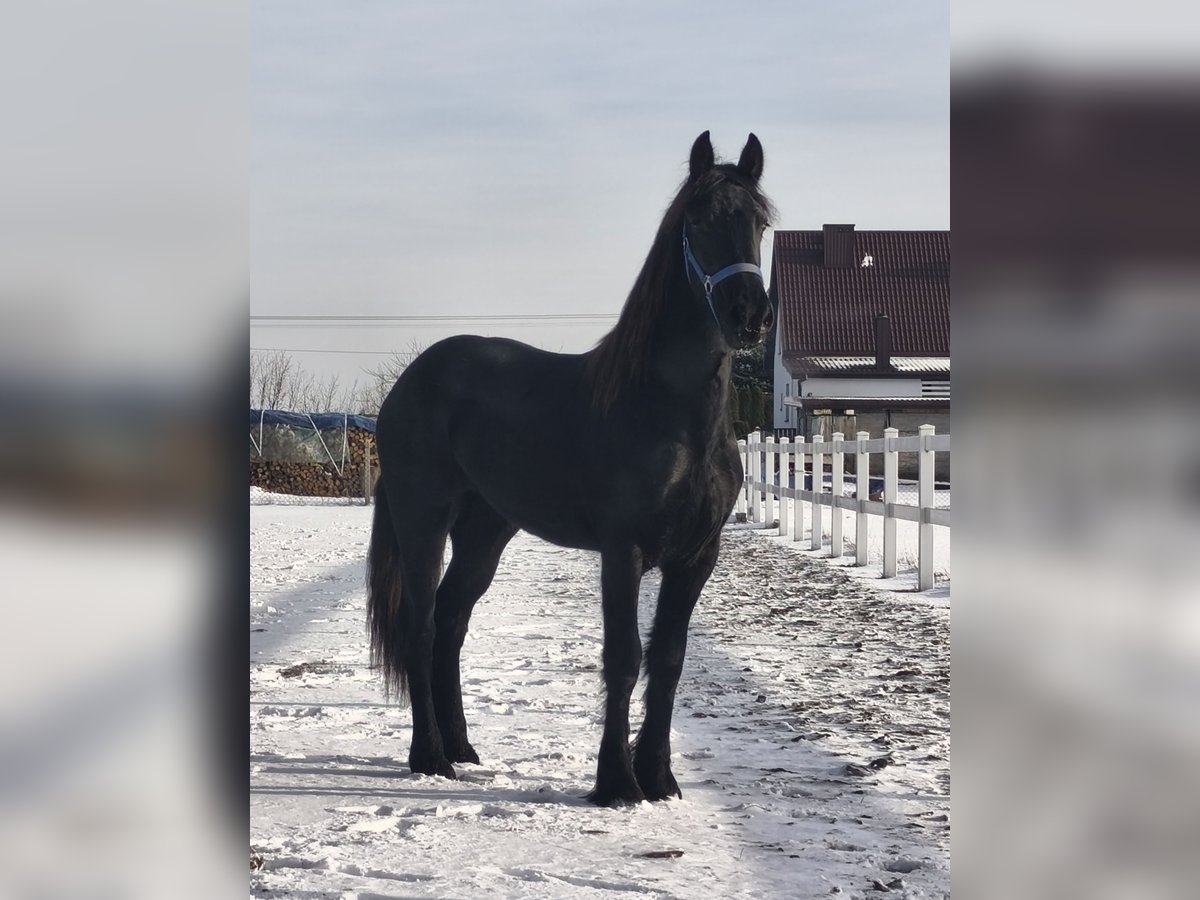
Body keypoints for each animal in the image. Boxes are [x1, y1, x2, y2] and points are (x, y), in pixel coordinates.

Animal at [367, 131, 775, 806]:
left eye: (761, 222)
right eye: (698, 219)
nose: (749, 314)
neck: (671, 412)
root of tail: (409, 382)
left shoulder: (697, 556)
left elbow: (669, 659)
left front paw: (659, 777)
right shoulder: (622, 549)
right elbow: (623, 657)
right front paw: (617, 783)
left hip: (485, 531)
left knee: (451, 622)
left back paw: (463, 747)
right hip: (422, 518)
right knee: (422, 627)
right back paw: (430, 757)